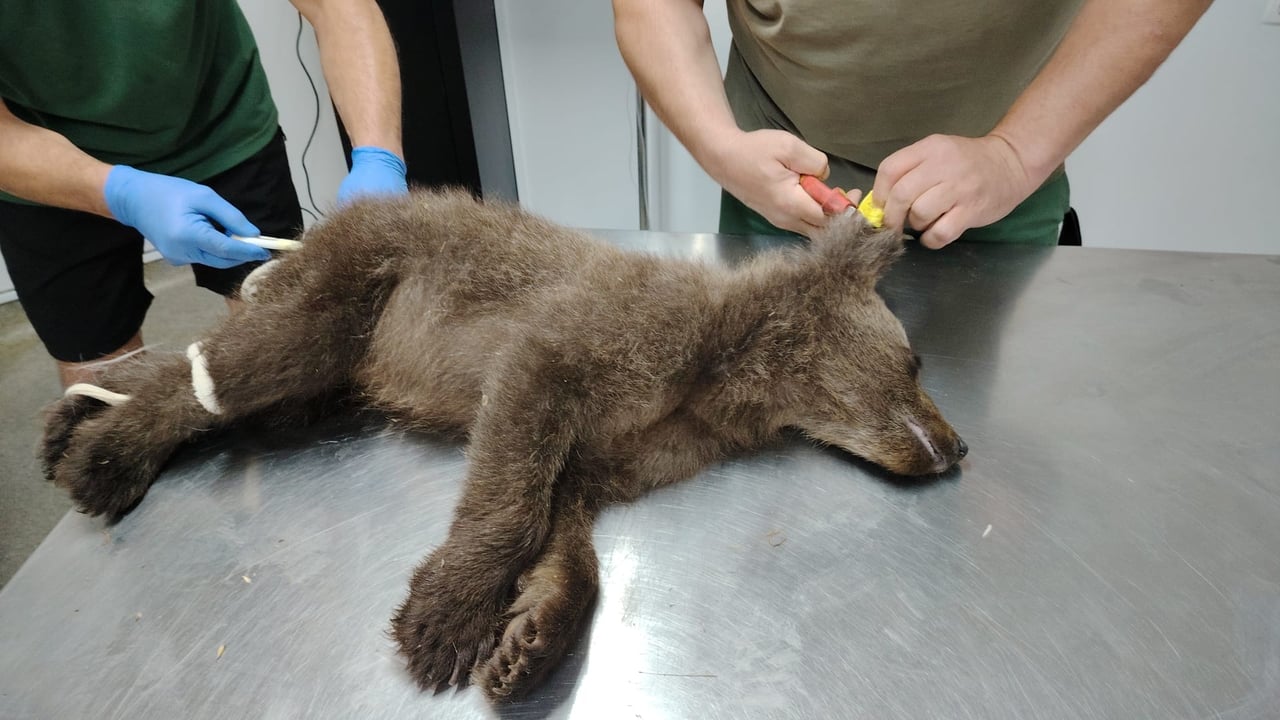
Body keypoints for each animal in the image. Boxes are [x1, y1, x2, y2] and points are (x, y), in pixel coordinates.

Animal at [40, 189, 965, 703]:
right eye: (917, 360)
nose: (958, 448)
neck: (727, 379)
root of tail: (324, 224)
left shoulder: (609, 456)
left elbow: (570, 543)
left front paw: (530, 638)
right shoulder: (556, 358)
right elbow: (515, 498)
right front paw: (447, 613)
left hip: (325, 380)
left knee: (215, 372)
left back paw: (74, 418)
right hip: (344, 301)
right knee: (222, 372)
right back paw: (103, 458)